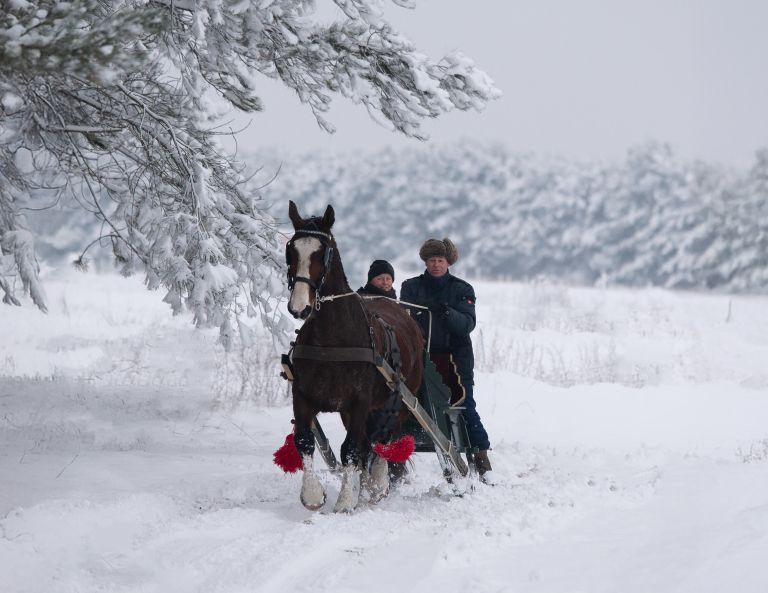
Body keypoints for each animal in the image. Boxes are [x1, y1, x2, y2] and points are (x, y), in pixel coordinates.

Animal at [284, 201, 424, 512]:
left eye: (322, 252)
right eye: (291, 250)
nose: (299, 307)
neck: (332, 338)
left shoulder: (359, 401)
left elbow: (350, 449)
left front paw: (346, 501)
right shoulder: (303, 395)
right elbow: (304, 440)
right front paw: (313, 495)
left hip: (401, 399)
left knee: (384, 439)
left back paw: (377, 484)